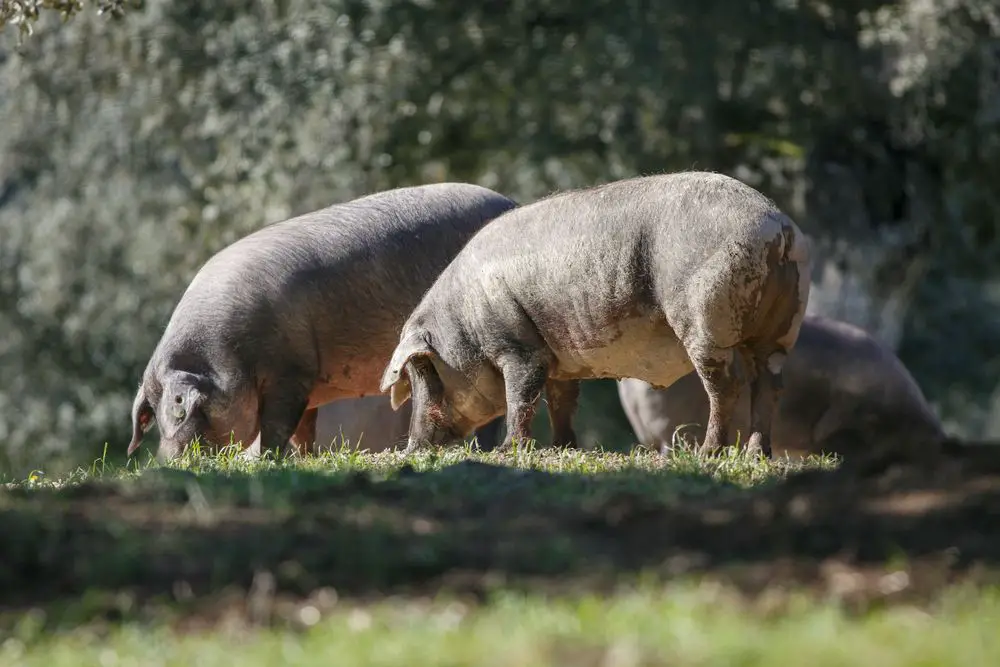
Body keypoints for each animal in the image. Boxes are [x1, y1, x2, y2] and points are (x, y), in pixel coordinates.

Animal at [127, 184, 516, 464]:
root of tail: (511, 202)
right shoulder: (308, 385)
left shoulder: (291, 373)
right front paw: (304, 459)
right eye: (153, 413)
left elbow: (278, 425)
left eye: (181, 408)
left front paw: (267, 459)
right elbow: (303, 430)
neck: (228, 352)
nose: (165, 461)